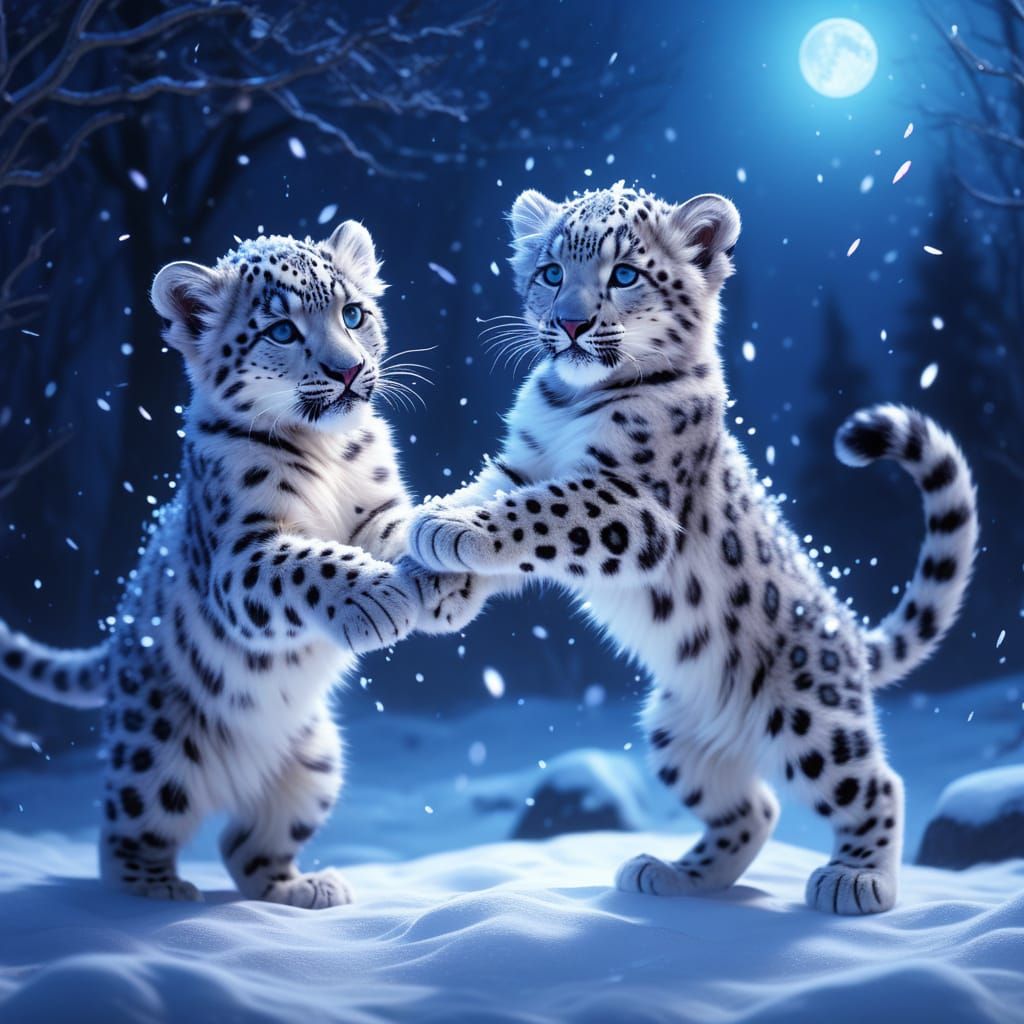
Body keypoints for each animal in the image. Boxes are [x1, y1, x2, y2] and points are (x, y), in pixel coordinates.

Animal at [0, 221, 480, 906]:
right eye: (281, 330)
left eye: (353, 314)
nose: (350, 370)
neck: (327, 450)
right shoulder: (240, 554)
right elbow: (307, 562)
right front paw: (377, 600)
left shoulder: (376, 509)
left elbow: (396, 532)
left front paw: (444, 577)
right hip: (153, 756)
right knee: (126, 831)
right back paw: (155, 893)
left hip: (317, 764)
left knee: (245, 844)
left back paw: (306, 890)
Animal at [408, 182, 978, 915]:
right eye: (551, 271)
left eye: (624, 274)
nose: (570, 324)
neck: (569, 405)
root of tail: (847, 633)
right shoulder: (521, 463)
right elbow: (497, 499)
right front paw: (434, 561)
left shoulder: (631, 503)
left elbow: (542, 512)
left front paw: (445, 531)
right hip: (675, 733)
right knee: (754, 808)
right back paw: (672, 875)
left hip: (811, 718)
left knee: (871, 783)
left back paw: (857, 881)